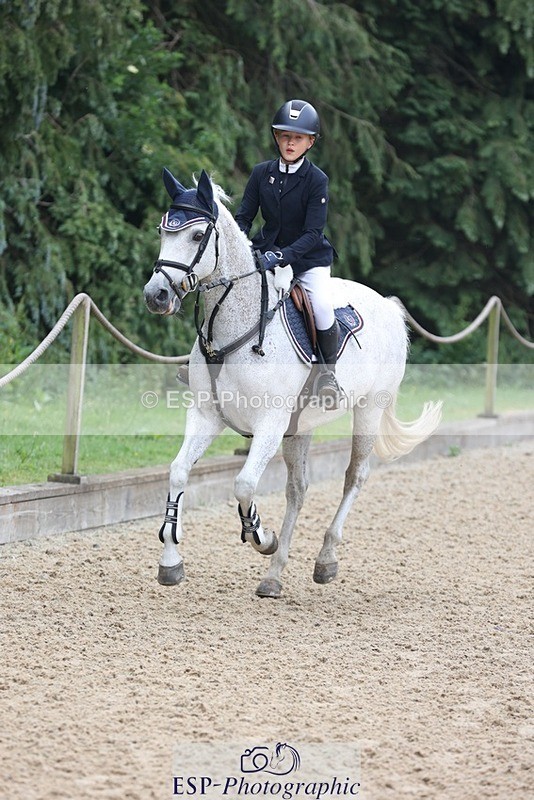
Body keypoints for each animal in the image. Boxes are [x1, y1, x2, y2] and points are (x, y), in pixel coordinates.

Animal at [143, 168, 442, 598]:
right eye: (161, 230)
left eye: (198, 236)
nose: (157, 295)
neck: (234, 328)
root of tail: (387, 305)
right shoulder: (206, 416)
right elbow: (178, 471)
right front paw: (171, 561)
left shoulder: (270, 423)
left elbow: (244, 484)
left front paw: (260, 536)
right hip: (300, 428)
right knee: (298, 490)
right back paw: (274, 575)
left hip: (369, 409)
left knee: (354, 476)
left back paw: (325, 559)